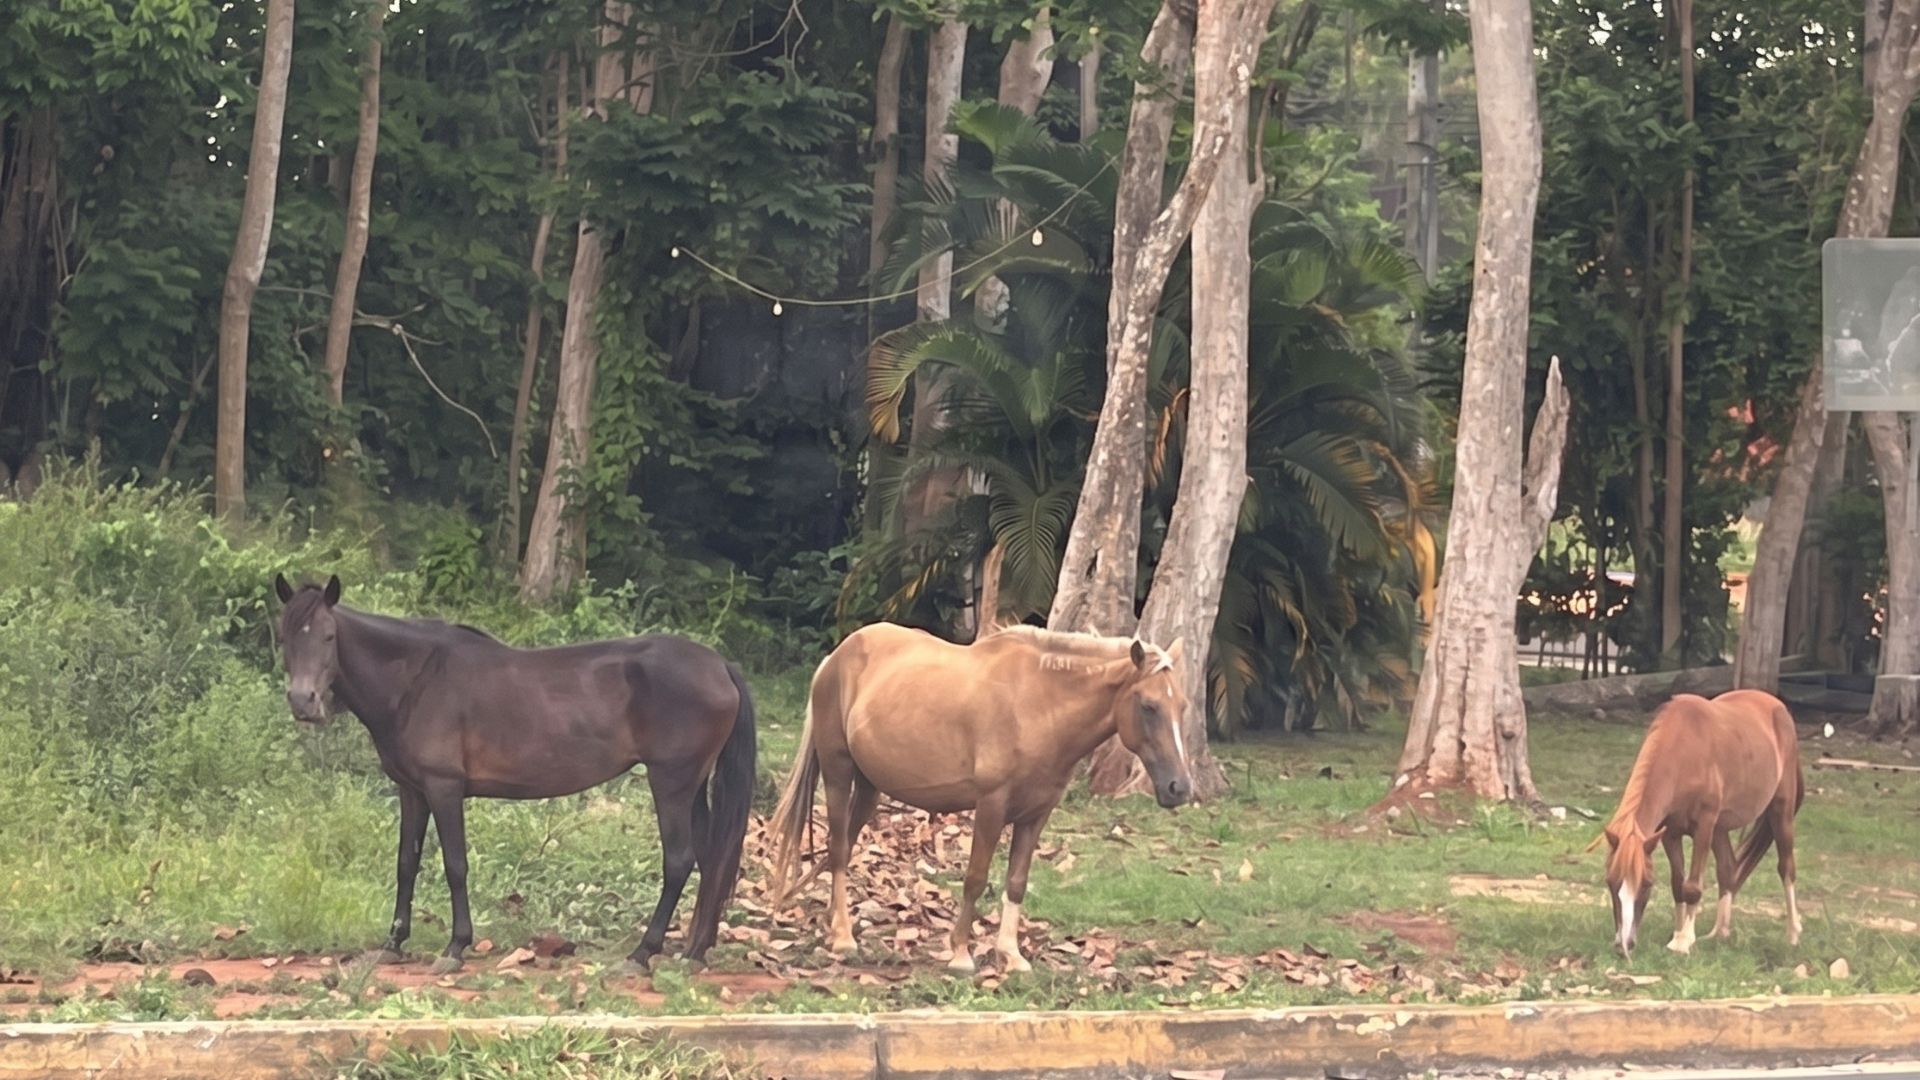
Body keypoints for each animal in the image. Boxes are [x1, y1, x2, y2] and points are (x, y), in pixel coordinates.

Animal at [272, 574, 756, 973]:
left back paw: (642, 954)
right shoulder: (412, 791)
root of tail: (720, 665)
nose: (303, 702)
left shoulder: (444, 788)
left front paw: (455, 947)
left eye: (329, 636)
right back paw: (695, 952)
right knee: (711, 859)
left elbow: (455, 865)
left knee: (679, 860)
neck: (417, 679)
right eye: (284, 637)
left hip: (670, 783)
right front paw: (393, 943)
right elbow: (406, 863)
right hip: (692, 787)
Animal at [766, 622, 1195, 974]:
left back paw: (833, 924)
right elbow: (975, 877)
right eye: (1149, 706)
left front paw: (1011, 955)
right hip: (839, 774)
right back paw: (843, 937)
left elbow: (1017, 881)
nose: (1180, 788)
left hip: (870, 787)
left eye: (1183, 706)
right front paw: (960, 953)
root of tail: (836, 657)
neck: (1039, 705)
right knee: (838, 848)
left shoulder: (1035, 815)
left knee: (844, 846)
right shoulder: (991, 806)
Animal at [1589, 689, 1804, 959]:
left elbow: (1692, 886)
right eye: (1610, 881)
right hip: (1721, 829)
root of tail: (1777, 706)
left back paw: (1793, 934)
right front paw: (1679, 933)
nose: (1623, 946)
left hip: (1780, 810)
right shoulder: (1670, 833)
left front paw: (1682, 941)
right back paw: (1719, 933)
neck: (1683, 751)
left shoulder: (1704, 825)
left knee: (1786, 867)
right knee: (1728, 870)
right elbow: (1678, 885)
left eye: (1647, 884)